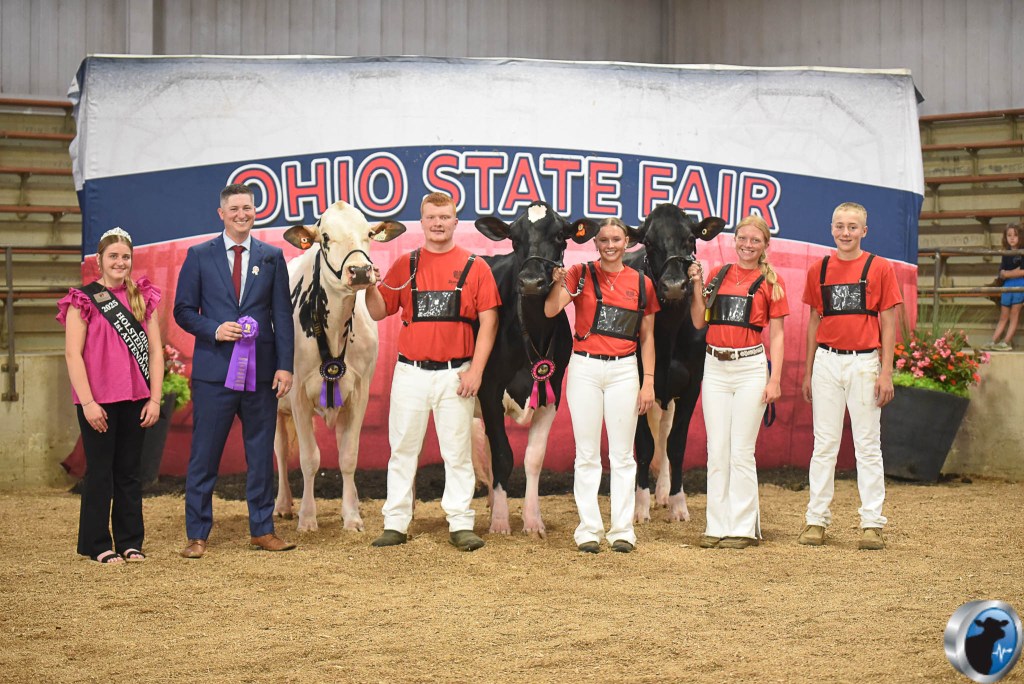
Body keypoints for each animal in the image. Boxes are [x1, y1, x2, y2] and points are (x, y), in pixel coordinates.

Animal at [273, 200, 405, 532]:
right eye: (325, 237)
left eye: (368, 233)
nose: (359, 270)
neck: (333, 330)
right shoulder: (297, 395)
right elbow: (309, 459)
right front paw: (307, 517)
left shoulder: (359, 390)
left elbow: (348, 455)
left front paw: (352, 517)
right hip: (277, 405)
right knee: (280, 452)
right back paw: (282, 504)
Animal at [475, 202, 598, 537]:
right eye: (514, 238)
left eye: (559, 236)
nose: (531, 281)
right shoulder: (489, 390)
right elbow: (504, 456)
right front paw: (501, 521)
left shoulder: (550, 391)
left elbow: (533, 458)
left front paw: (532, 520)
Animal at [623, 203, 725, 523]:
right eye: (649, 242)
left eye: (691, 239)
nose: (674, 286)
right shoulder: (640, 383)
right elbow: (644, 446)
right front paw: (640, 505)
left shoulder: (692, 385)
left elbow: (676, 445)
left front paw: (678, 503)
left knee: (665, 435)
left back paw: (664, 492)